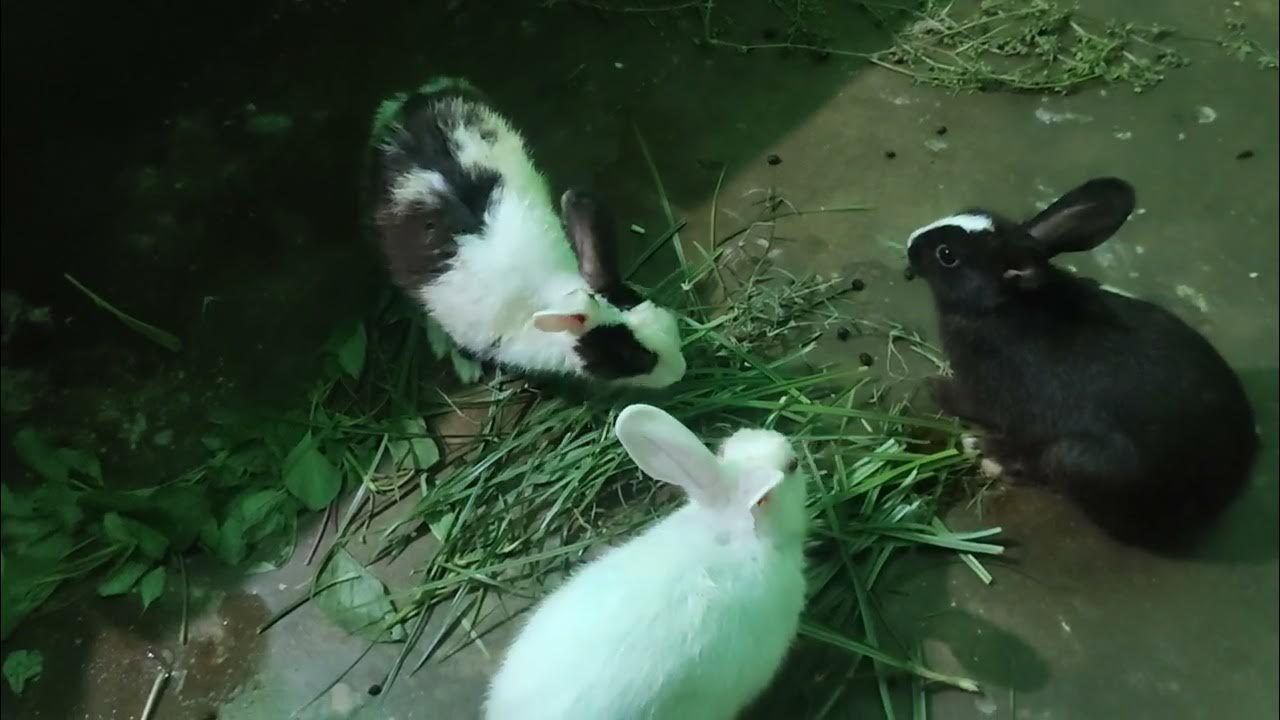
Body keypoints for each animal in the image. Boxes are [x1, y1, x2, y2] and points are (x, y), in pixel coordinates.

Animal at [906, 177, 1258, 550]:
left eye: (947, 256)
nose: (911, 243)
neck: (1003, 305)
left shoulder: (989, 390)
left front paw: (935, 387)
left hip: (1078, 459)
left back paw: (987, 454)